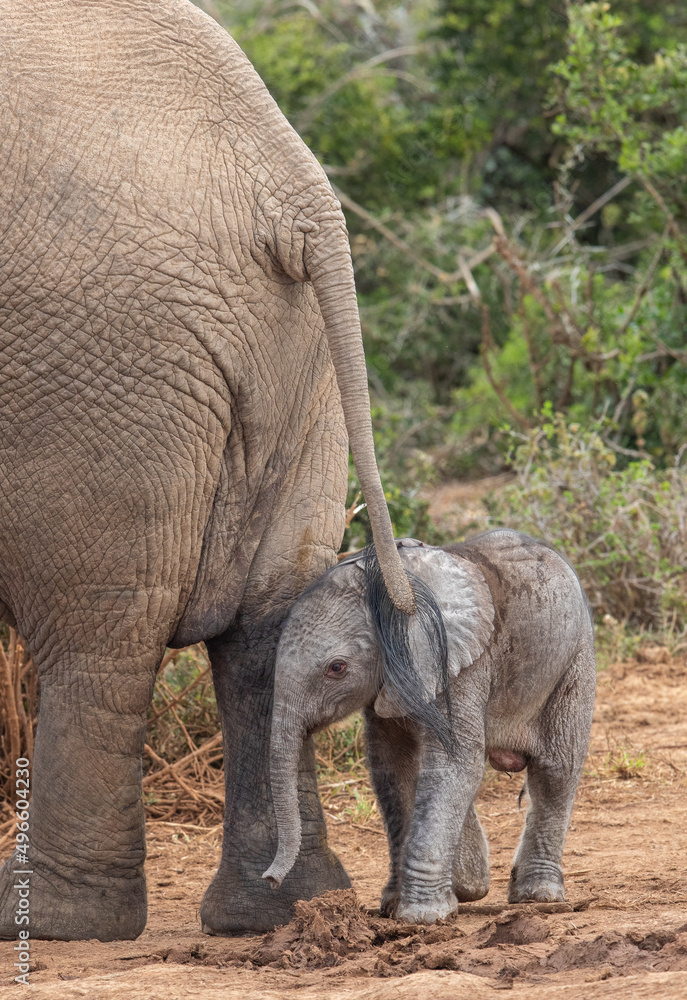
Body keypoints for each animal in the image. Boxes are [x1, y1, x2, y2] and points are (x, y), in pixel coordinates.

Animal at [0, 0, 418, 941]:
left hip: (101, 354)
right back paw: (276, 910)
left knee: (98, 637)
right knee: (269, 622)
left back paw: (50, 921)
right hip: (296, 360)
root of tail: (289, 187)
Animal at [263, 530, 596, 924]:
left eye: (336, 668)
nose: (269, 881)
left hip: (575, 658)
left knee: (556, 770)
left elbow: (452, 766)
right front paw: (396, 905)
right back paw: (472, 884)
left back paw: (537, 895)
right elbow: (393, 769)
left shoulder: (457, 667)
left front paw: (422, 917)